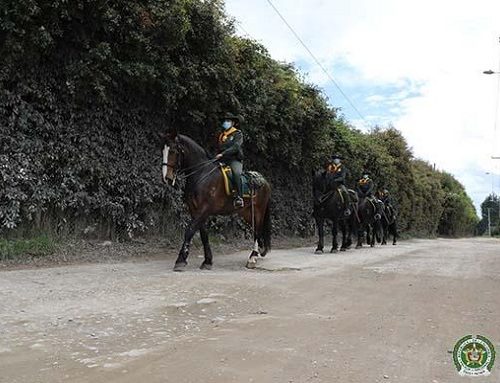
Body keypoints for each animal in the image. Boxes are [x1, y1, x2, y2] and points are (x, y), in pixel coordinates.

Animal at [161, 132, 270, 270]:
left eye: (173, 151)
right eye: (163, 151)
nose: (166, 178)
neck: (201, 174)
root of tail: (264, 181)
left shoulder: (204, 209)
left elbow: (189, 231)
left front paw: (180, 260)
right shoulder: (195, 210)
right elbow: (203, 235)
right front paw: (207, 261)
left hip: (259, 211)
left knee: (257, 231)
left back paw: (252, 258)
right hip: (247, 213)